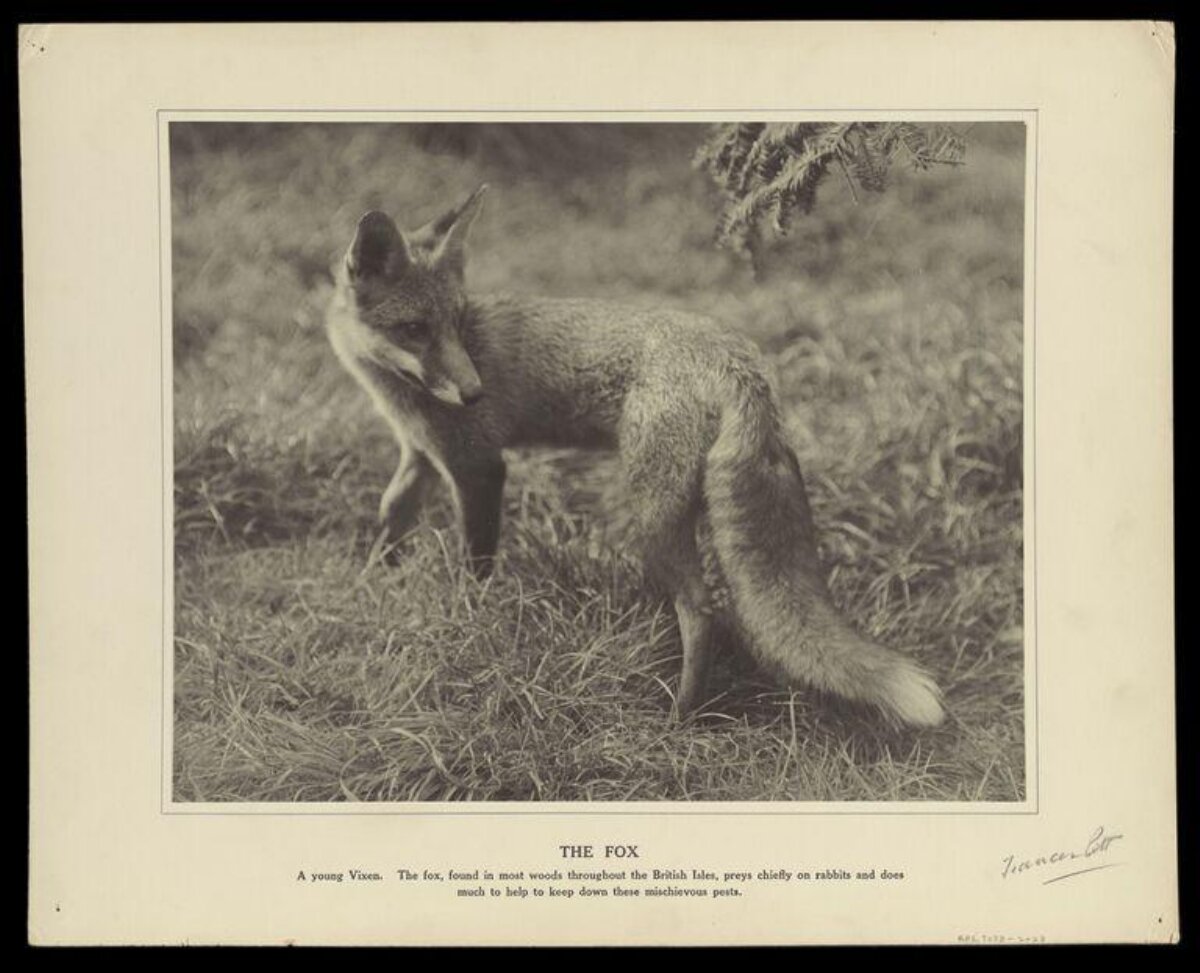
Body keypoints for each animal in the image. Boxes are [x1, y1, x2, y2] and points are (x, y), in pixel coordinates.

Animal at [325, 184, 945, 727]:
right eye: (414, 328)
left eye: (456, 322)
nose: (474, 393)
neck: (397, 391)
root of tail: (738, 360)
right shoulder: (423, 455)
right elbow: (391, 512)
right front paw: (377, 580)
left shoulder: (479, 466)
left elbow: (475, 564)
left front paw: (472, 616)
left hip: (650, 515)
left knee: (702, 609)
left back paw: (681, 716)